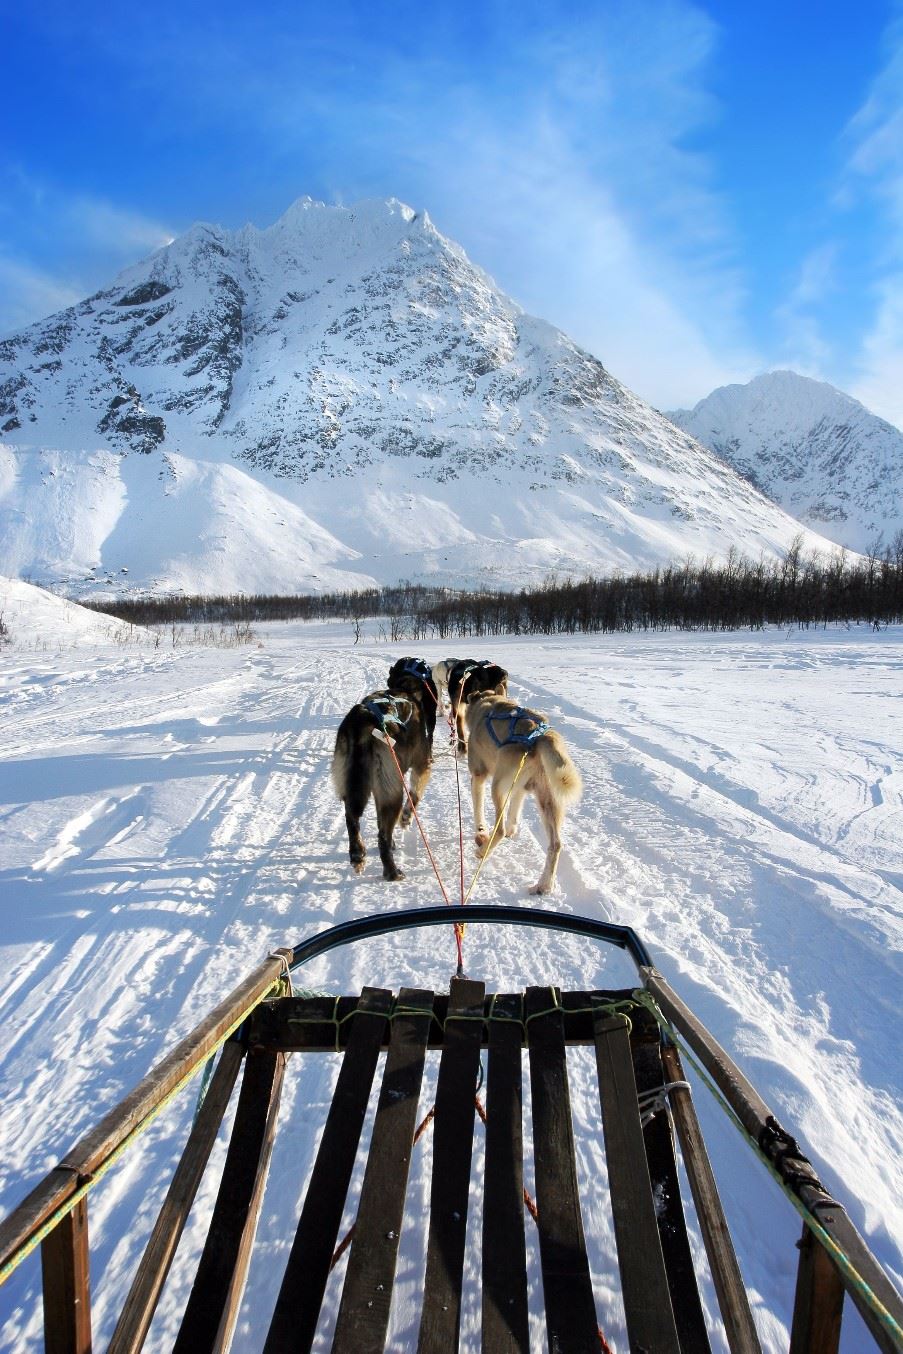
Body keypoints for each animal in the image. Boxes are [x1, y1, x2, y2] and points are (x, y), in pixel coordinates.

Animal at [463, 693, 582, 893]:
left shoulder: (478, 777)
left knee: (499, 830)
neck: (487, 701)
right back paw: (544, 885)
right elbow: (514, 812)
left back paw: (483, 851)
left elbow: (479, 811)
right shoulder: (520, 788)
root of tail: (539, 736)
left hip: (497, 787)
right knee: (556, 844)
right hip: (548, 801)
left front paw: (481, 832)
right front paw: (513, 829)